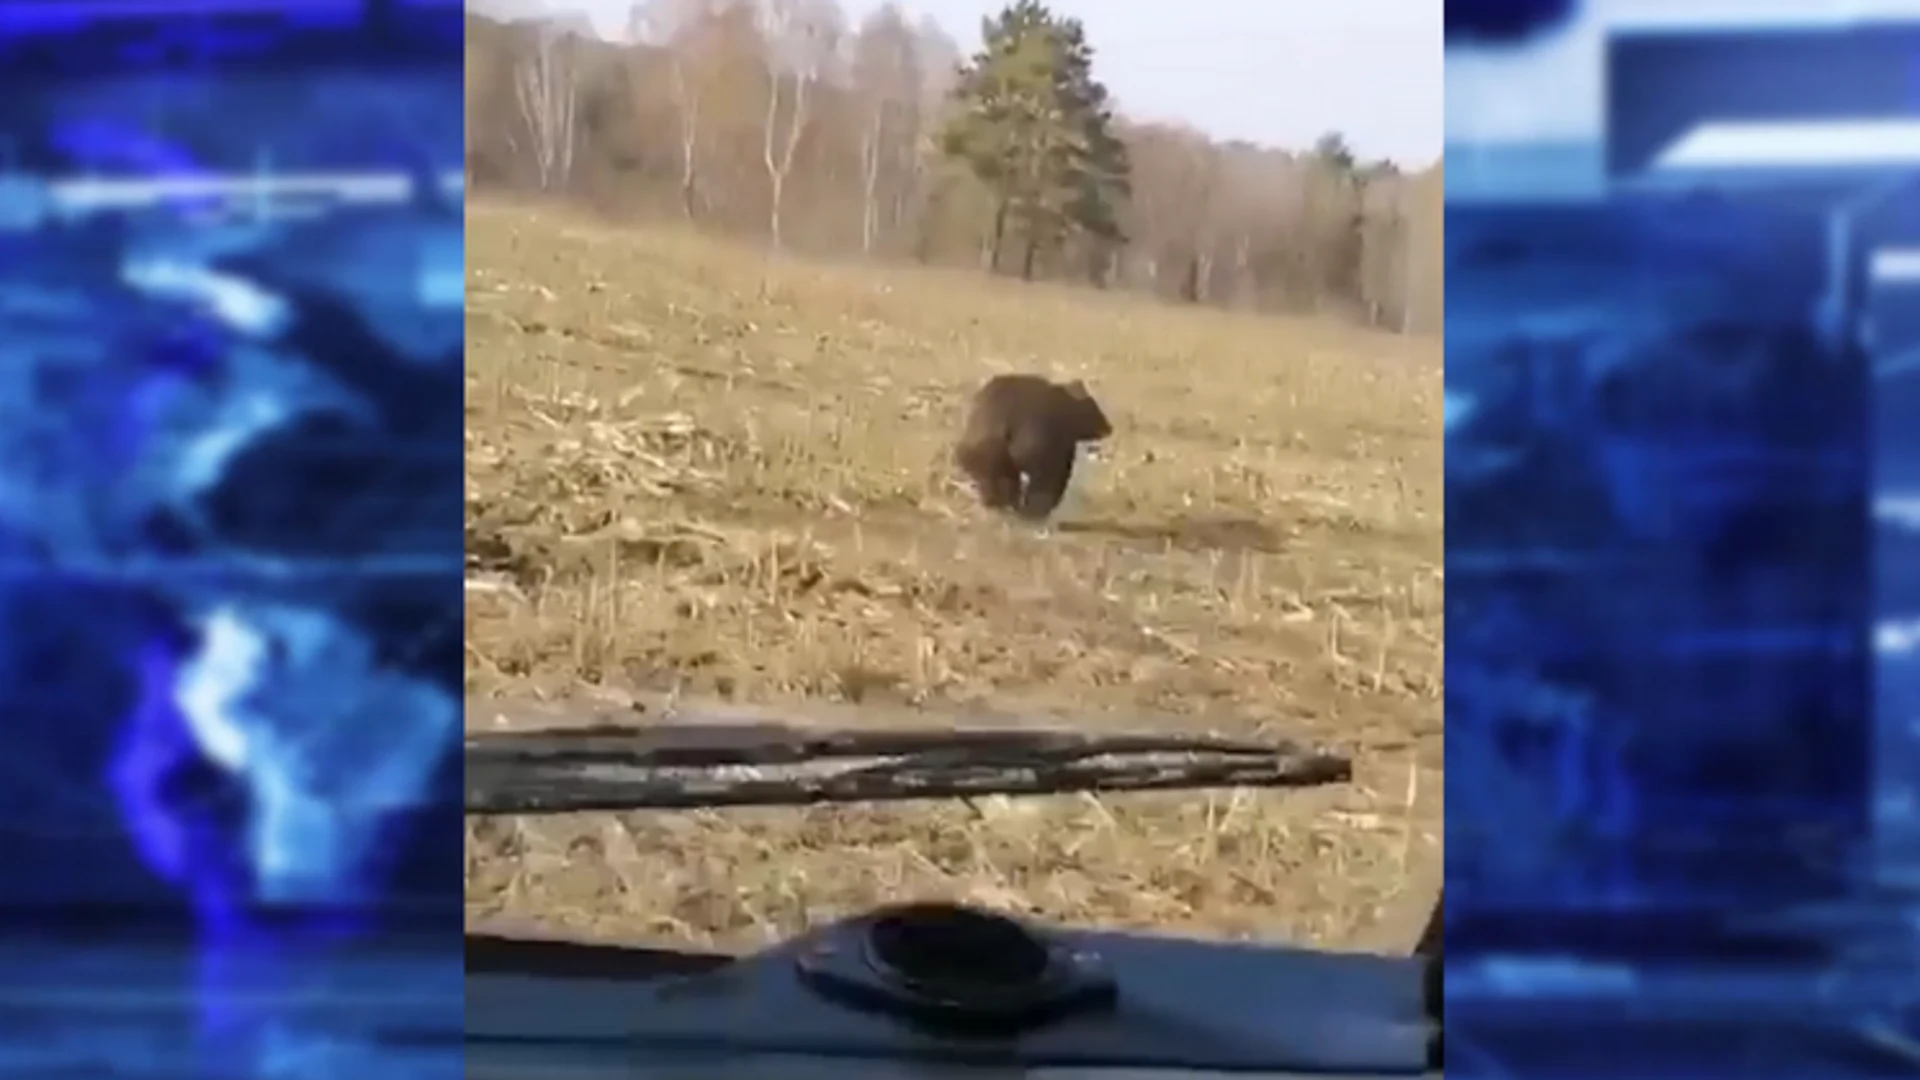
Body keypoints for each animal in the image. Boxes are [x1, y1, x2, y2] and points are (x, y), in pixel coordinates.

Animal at [948, 372, 1113, 518]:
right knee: (1040, 485)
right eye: (1093, 406)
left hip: (984, 455)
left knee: (997, 482)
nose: (1108, 428)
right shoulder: (1060, 449)